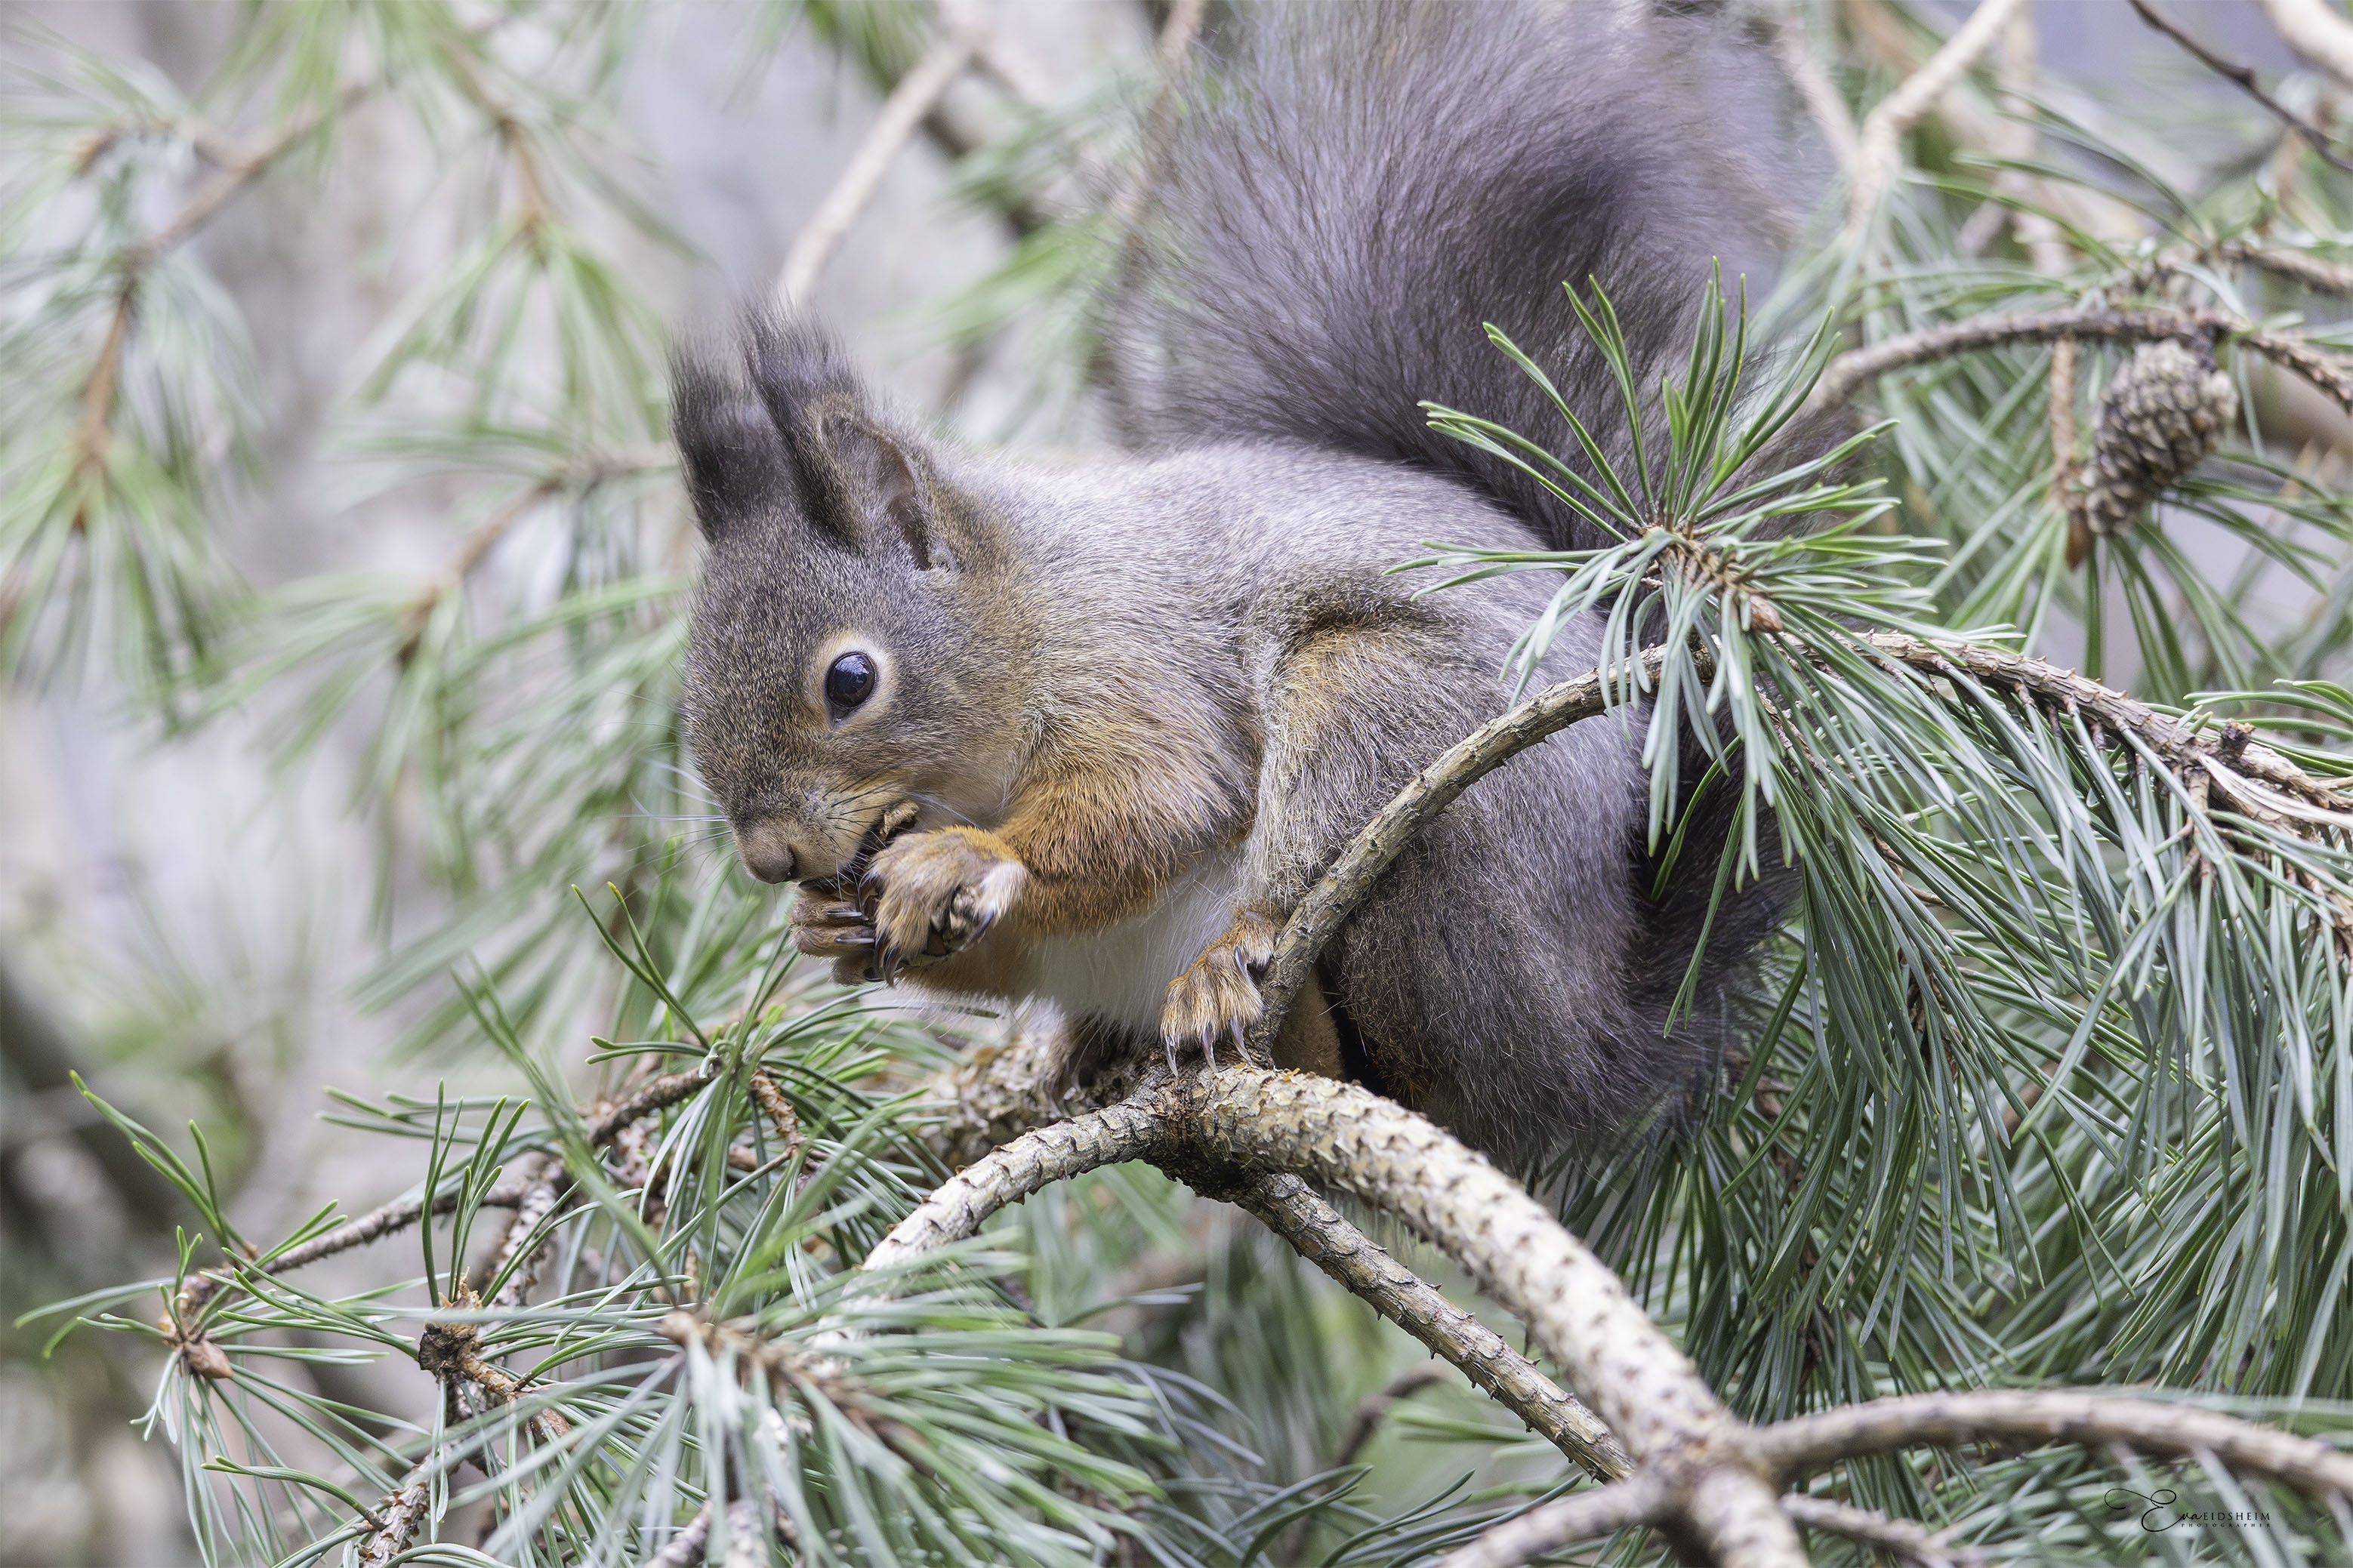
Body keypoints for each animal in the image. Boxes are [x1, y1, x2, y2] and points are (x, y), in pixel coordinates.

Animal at [671, 1, 1804, 1168]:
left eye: (849, 680)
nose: (768, 857)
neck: (1029, 608)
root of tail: (1593, 1030)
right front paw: (829, 926)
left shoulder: (1133, 667)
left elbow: (1153, 804)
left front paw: (959, 858)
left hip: (1404, 750)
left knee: (1367, 1026)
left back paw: (1240, 971)